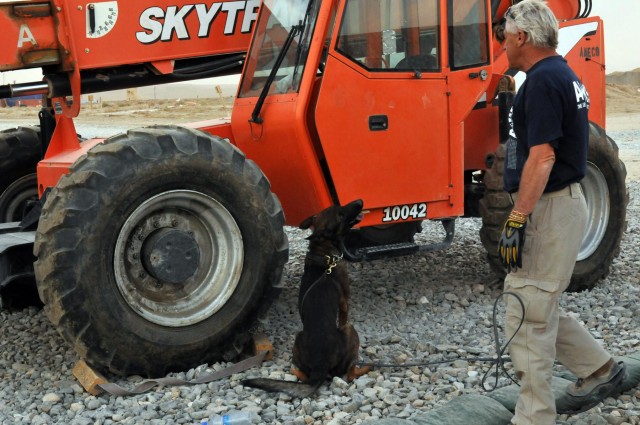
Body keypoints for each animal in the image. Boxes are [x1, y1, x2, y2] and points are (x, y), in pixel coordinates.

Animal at [241, 199, 370, 398]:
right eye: (340, 214)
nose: (359, 201)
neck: (323, 252)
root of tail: (320, 367)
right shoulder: (344, 303)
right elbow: (343, 315)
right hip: (350, 329)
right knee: (350, 372)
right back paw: (365, 368)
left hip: (298, 336)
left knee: (298, 372)